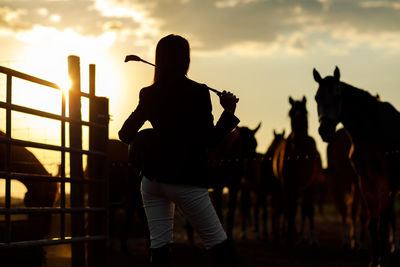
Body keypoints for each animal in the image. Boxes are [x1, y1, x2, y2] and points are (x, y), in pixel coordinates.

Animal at [274, 97, 324, 248]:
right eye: (290, 114)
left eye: (305, 113)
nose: (297, 140)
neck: (299, 154)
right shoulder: (287, 184)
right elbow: (290, 210)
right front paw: (289, 237)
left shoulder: (309, 185)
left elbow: (308, 210)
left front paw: (310, 238)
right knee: (289, 208)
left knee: (305, 210)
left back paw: (304, 237)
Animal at [312, 66, 400, 266]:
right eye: (317, 97)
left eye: (337, 96)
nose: (324, 131)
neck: (371, 132)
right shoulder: (364, 182)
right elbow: (371, 223)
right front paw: (374, 260)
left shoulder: (388, 182)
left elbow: (382, 224)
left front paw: (382, 259)